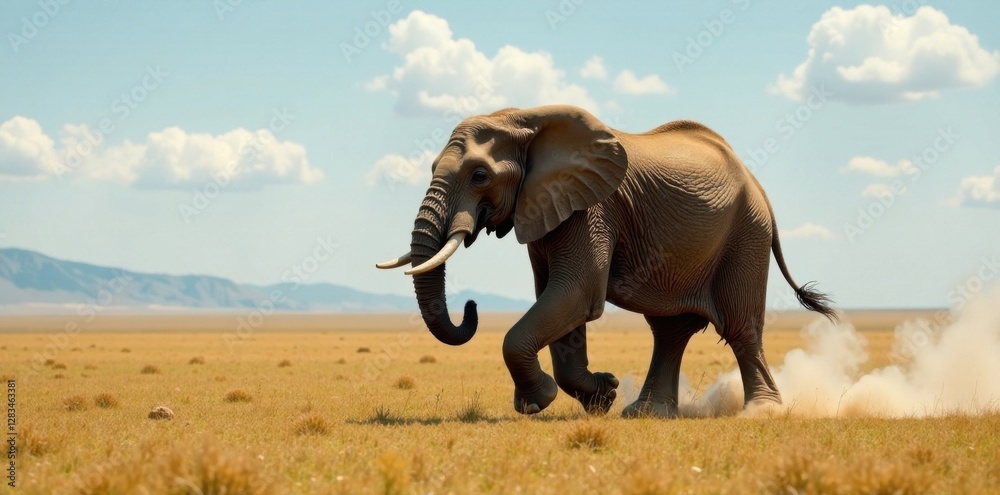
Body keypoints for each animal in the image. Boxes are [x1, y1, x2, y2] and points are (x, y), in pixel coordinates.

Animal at [376, 105, 836, 417]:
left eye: (479, 176)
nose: (471, 307)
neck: (524, 119)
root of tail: (757, 183)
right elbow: (559, 301)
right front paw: (603, 395)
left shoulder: (590, 207)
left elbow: (575, 294)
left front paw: (542, 401)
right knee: (670, 332)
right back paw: (646, 412)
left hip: (747, 232)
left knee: (741, 328)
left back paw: (763, 411)